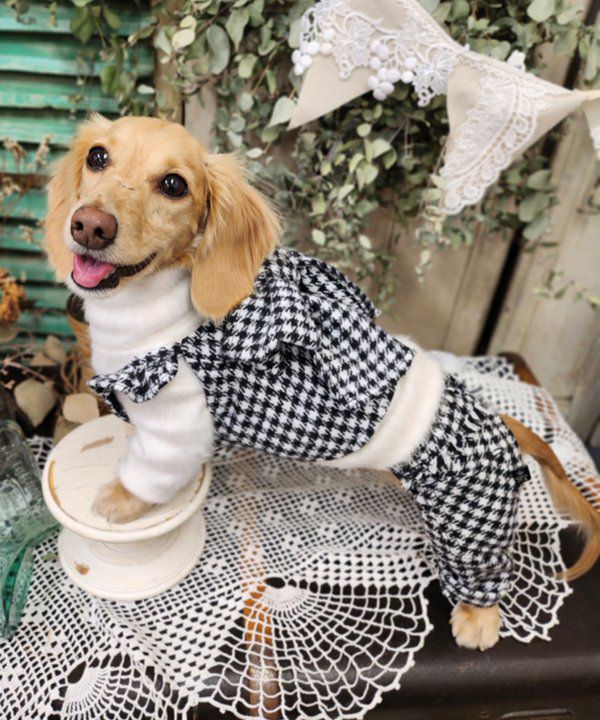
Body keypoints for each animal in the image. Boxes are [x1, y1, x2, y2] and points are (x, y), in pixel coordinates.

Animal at [45, 115, 599, 651]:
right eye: (98, 157)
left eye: (173, 185)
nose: (90, 225)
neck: (147, 309)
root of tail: (502, 423)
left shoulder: (175, 427)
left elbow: (148, 473)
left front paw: (119, 499)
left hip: (469, 516)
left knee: (482, 568)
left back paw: (478, 619)